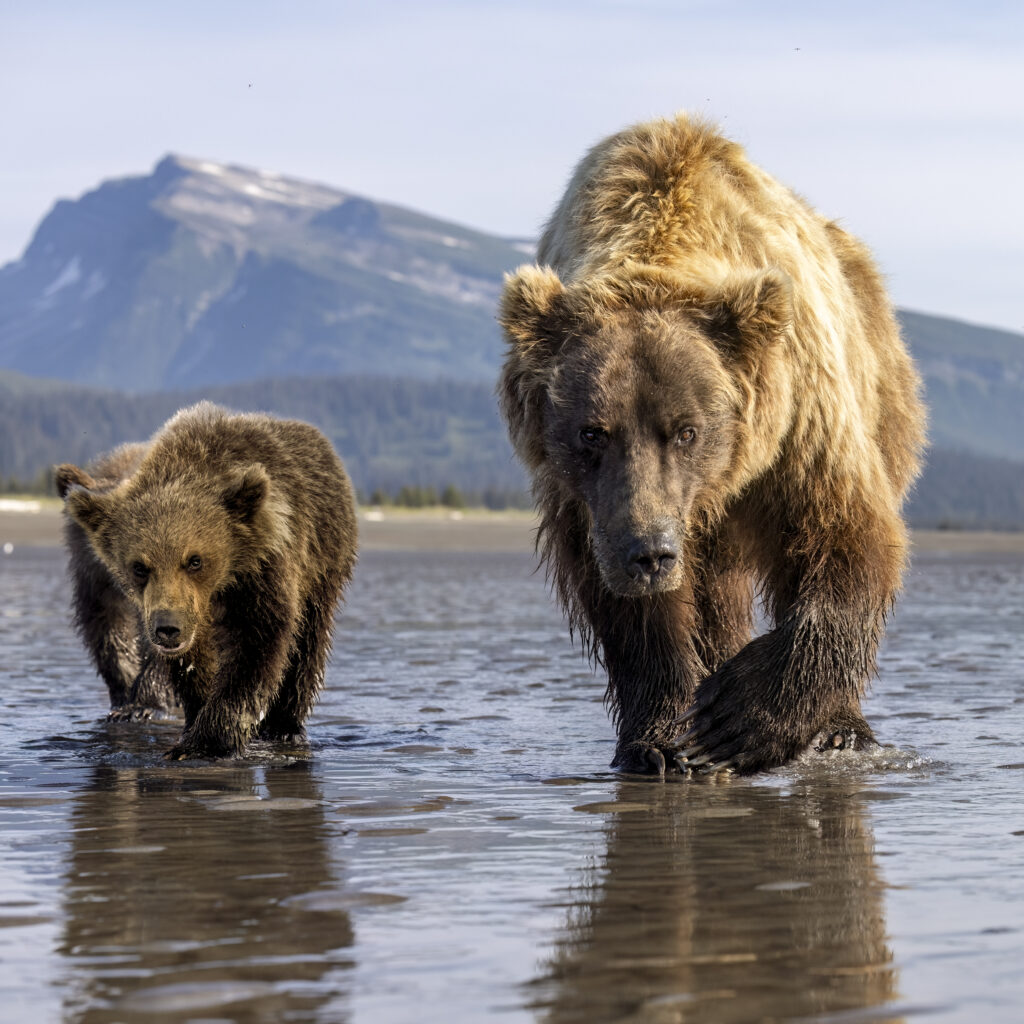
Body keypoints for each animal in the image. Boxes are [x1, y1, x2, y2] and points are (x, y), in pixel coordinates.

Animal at [58, 399, 360, 761]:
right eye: (139, 567)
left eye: (195, 560)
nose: (168, 628)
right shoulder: (109, 590)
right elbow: (126, 641)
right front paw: (183, 712)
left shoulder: (263, 568)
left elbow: (256, 643)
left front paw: (204, 741)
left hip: (323, 558)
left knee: (308, 639)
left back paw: (285, 726)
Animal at [497, 112, 929, 770]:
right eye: (592, 432)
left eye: (687, 430)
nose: (650, 553)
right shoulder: (587, 501)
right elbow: (629, 608)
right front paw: (661, 740)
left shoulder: (801, 421)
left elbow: (849, 539)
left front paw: (737, 720)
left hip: (882, 394)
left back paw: (840, 729)